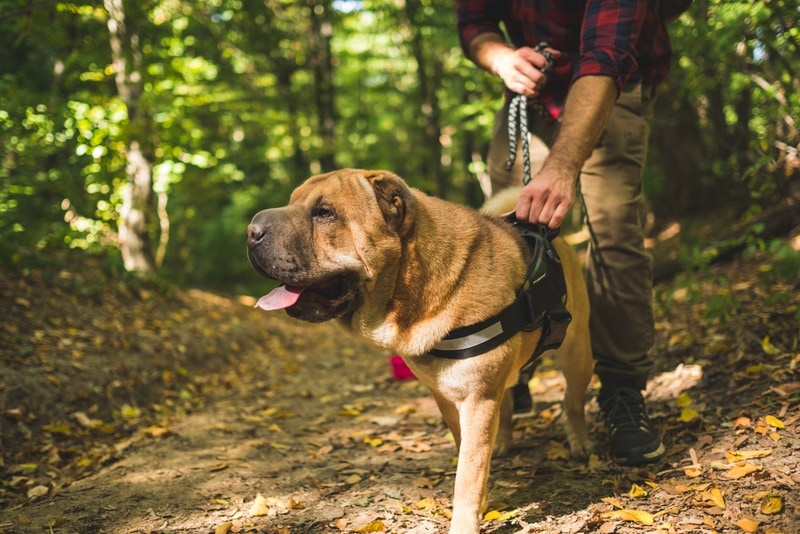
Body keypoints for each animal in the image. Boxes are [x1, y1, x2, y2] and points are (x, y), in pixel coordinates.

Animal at [247, 170, 592, 532]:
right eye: (292, 200)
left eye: (325, 213)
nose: (251, 231)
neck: (412, 287)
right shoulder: (449, 397)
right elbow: (467, 453)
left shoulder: (477, 399)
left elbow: (468, 474)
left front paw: (465, 522)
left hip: (577, 354)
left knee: (572, 402)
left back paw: (580, 442)